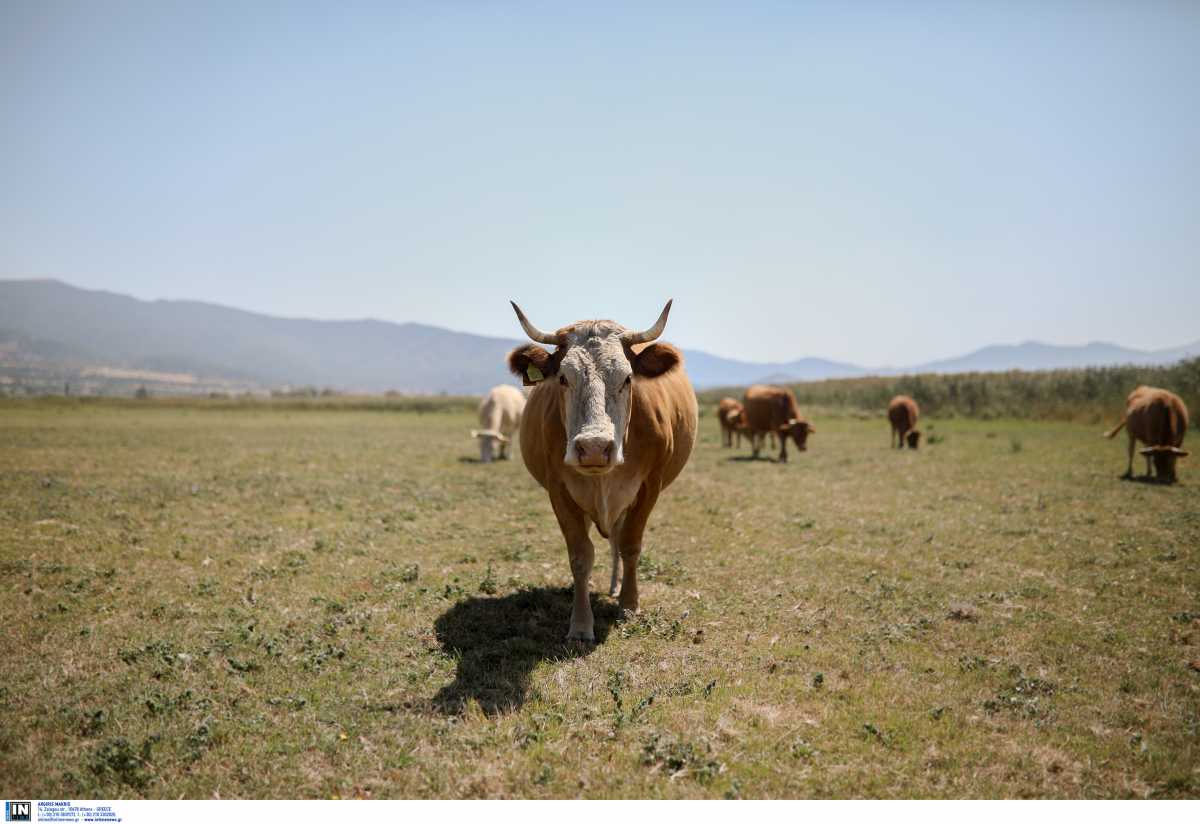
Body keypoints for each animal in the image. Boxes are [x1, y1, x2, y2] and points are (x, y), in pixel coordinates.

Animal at [504, 299, 696, 642]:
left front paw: (629, 606)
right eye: (563, 378)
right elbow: (581, 556)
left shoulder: (649, 486)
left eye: (627, 378)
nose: (594, 447)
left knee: (618, 539)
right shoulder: (559, 490)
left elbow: (631, 545)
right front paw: (581, 624)